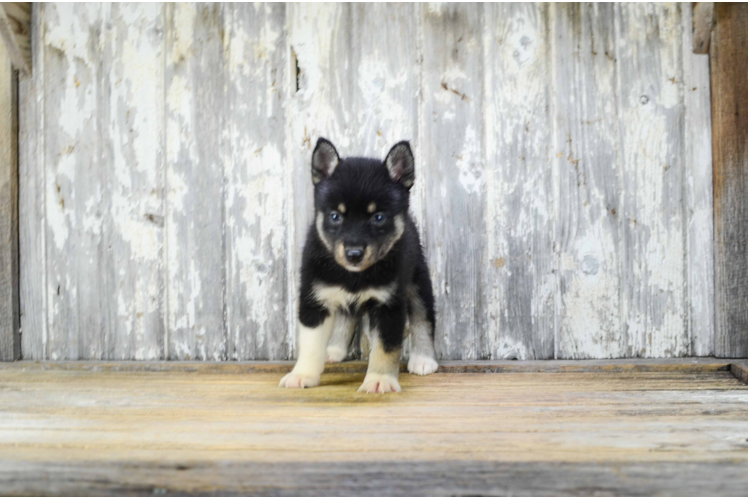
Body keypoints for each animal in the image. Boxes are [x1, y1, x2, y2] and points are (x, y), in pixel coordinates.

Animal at [282, 139, 442, 392]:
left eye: (378, 217)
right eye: (335, 216)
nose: (354, 254)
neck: (354, 276)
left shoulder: (389, 305)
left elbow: (385, 348)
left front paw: (379, 380)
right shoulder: (314, 300)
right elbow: (310, 344)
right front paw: (302, 375)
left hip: (418, 280)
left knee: (422, 316)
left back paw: (424, 358)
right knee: (346, 316)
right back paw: (333, 350)